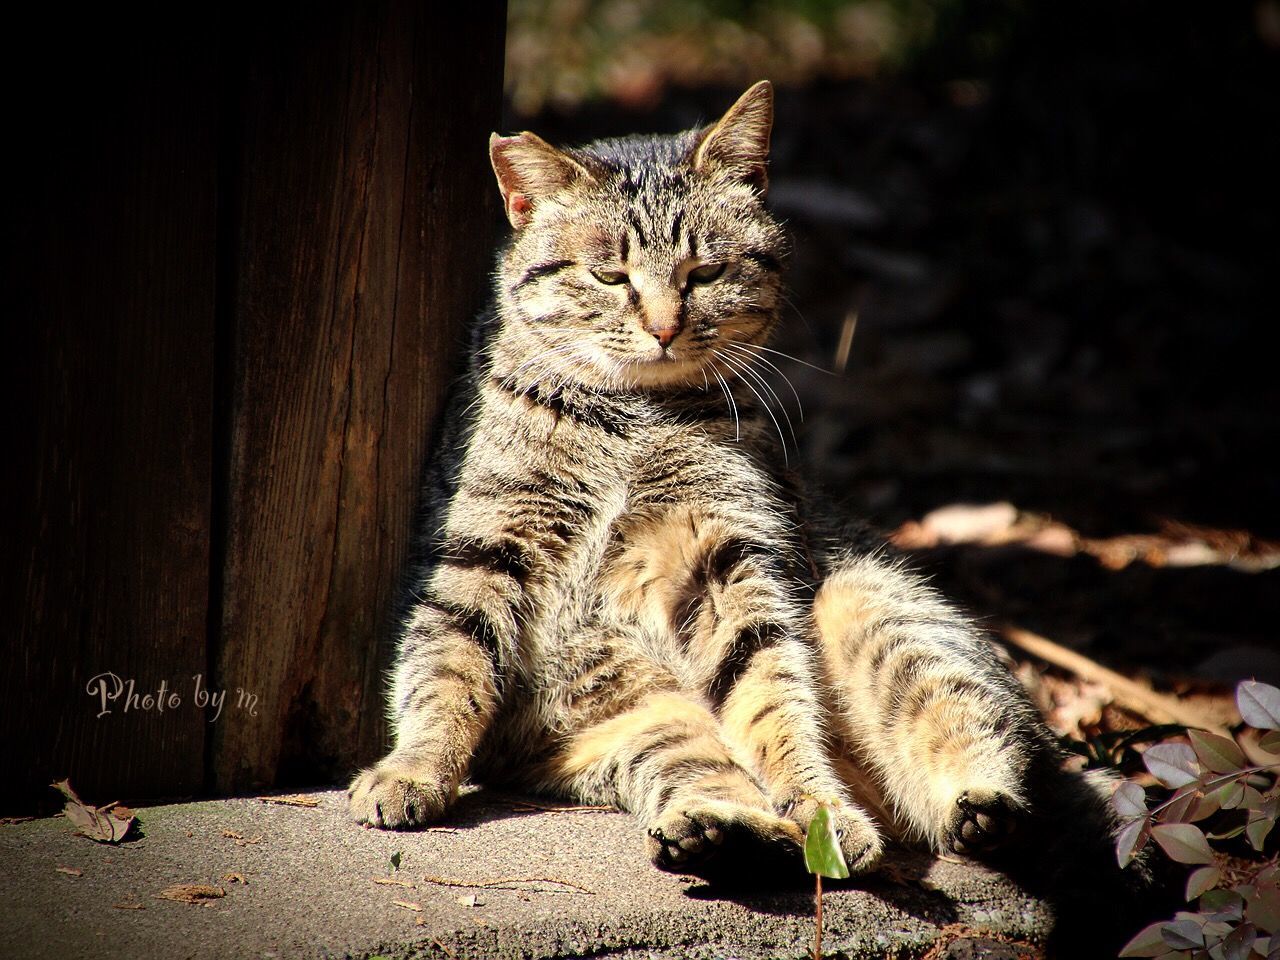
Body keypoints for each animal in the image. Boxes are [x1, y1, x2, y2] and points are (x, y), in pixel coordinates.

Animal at [348, 86, 1111, 885]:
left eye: (704, 274)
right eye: (610, 276)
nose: (662, 329)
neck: (632, 415)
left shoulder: (724, 556)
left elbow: (773, 693)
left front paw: (823, 808)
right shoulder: (484, 541)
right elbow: (445, 663)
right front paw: (414, 768)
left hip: (885, 618)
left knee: (974, 753)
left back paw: (951, 809)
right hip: (659, 730)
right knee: (726, 789)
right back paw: (718, 835)